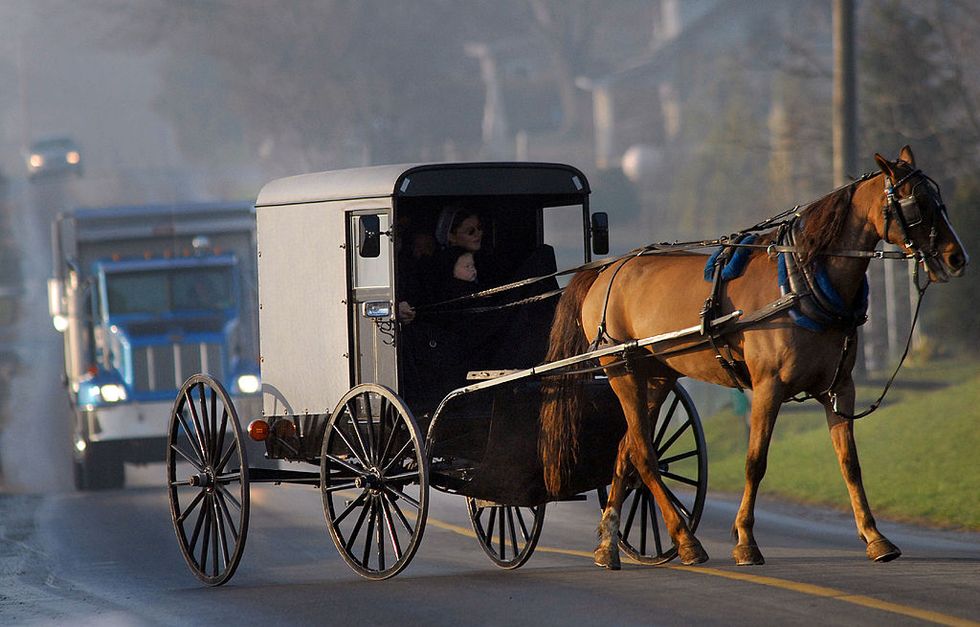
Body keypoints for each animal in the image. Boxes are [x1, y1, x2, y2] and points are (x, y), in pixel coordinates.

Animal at [540, 147, 968, 568]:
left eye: (939, 200)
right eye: (917, 204)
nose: (956, 258)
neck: (800, 280)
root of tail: (607, 268)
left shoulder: (839, 387)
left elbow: (850, 463)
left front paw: (875, 537)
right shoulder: (768, 386)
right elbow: (755, 461)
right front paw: (745, 540)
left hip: (657, 375)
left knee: (626, 449)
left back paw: (609, 543)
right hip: (622, 371)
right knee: (644, 453)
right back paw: (685, 540)